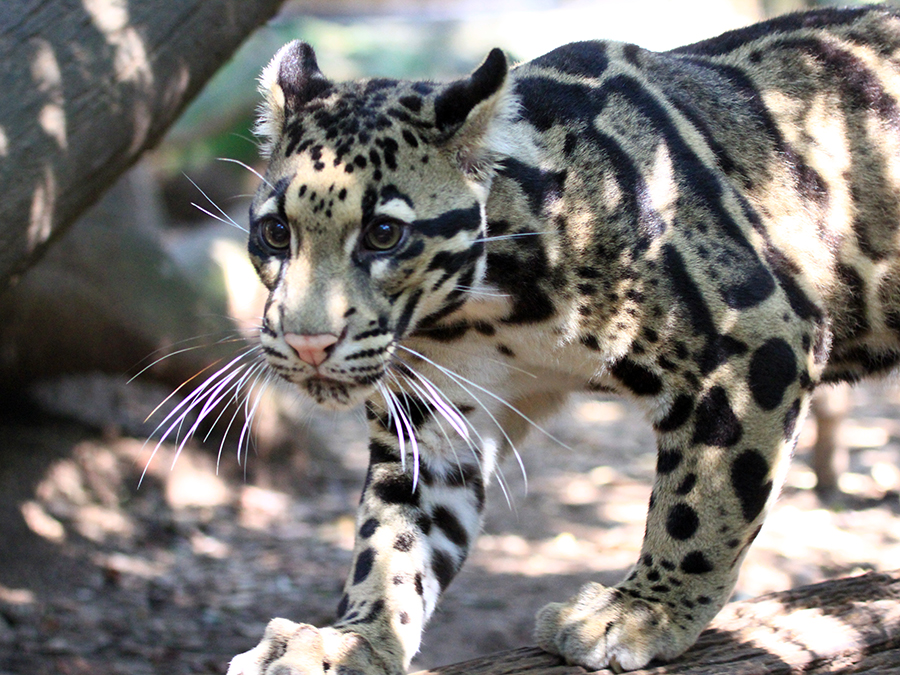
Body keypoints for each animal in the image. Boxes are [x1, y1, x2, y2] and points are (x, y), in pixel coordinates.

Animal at [227, 6, 900, 675]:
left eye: (384, 234)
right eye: (276, 232)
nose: (307, 342)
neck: (487, 310)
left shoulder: (755, 336)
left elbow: (702, 502)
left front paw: (643, 610)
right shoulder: (434, 416)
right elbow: (394, 538)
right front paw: (353, 639)